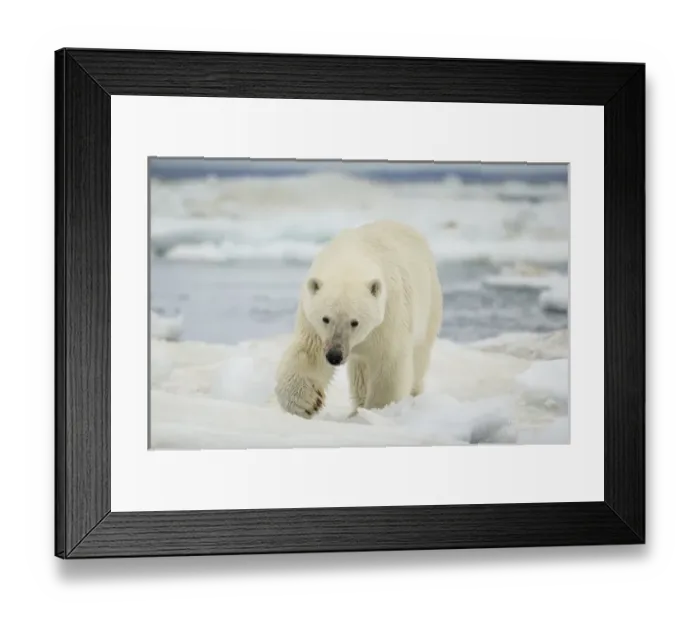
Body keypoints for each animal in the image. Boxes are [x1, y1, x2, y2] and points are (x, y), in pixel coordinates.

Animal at [274, 219, 443, 418]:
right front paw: (306, 402)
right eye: (325, 319)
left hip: (429, 303)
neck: (352, 258)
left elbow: (389, 363)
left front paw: (378, 410)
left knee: (419, 356)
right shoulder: (311, 321)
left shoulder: (388, 315)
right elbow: (309, 351)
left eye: (355, 322)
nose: (334, 356)